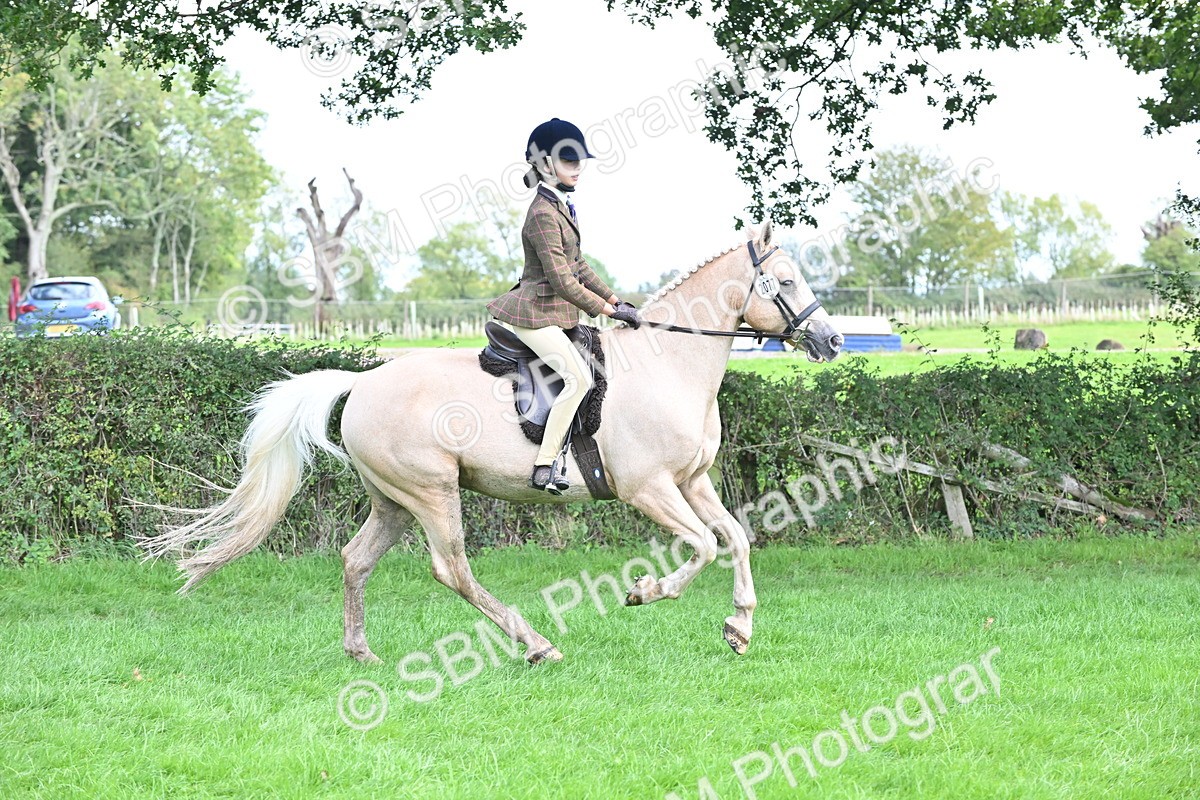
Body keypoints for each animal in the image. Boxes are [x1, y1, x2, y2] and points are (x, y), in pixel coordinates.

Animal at [139, 219, 843, 664]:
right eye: (784, 280)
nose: (832, 340)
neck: (667, 364)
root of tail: (362, 382)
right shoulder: (650, 488)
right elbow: (702, 546)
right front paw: (645, 593)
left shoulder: (693, 482)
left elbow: (737, 538)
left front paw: (739, 628)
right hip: (431, 494)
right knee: (451, 568)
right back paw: (536, 645)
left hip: (393, 501)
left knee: (356, 559)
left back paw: (361, 651)